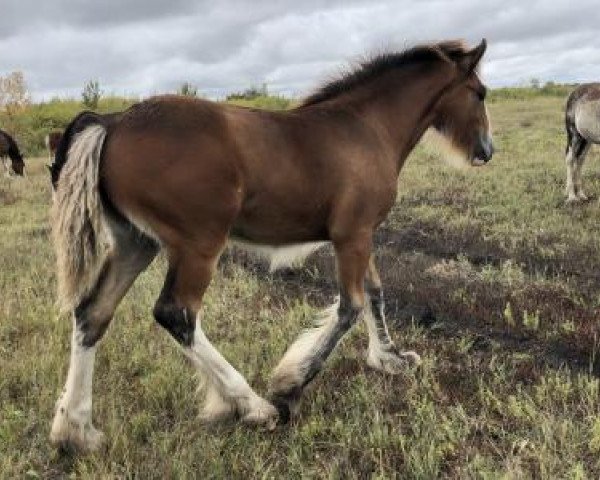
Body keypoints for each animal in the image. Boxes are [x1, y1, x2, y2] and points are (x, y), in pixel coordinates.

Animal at [50, 39, 492, 452]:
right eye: (480, 92)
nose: (487, 150)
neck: (367, 128)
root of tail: (113, 122)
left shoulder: (362, 233)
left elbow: (375, 294)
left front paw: (390, 359)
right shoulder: (352, 236)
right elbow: (350, 307)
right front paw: (290, 388)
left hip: (135, 243)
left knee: (92, 313)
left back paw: (75, 430)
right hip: (198, 245)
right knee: (176, 314)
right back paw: (254, 407)